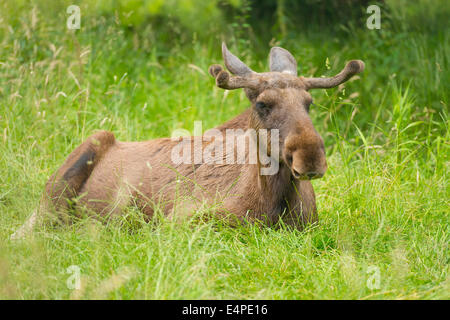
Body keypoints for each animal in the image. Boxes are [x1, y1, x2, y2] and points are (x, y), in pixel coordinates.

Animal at [10, 42, 364, 239]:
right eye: (262, 104)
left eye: (309, 103)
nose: (311, 157)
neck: (272, 199)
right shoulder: (178, 218)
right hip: (71, 171)